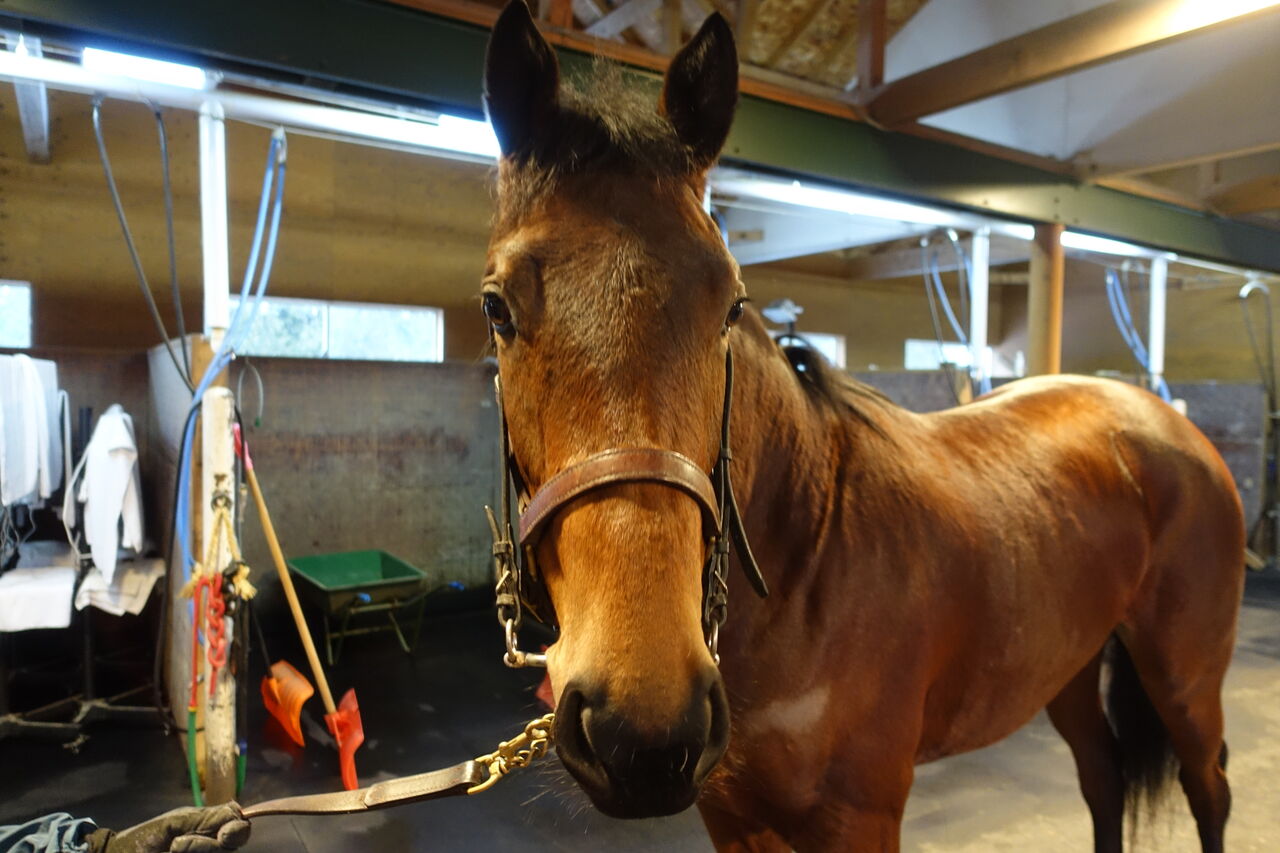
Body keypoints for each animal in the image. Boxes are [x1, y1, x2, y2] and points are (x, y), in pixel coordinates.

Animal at [477, 3, 1245, 850]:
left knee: (1208, 790)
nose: (641, 729)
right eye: (496, 307)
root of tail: (1166, 421)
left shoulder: (862, 815)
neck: (806, 561)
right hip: (1069, 665)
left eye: (731, 305)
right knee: (1103, 778)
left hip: (1186, 679)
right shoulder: (730, 814)